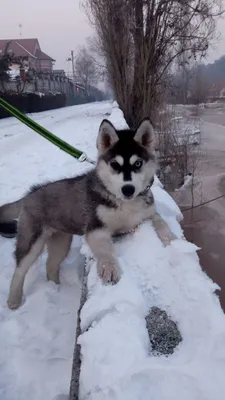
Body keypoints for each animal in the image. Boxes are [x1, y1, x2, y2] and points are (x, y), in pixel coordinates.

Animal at [0, 119, 175, 310]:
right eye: (115, 165)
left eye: (138, 164)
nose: (128, 189)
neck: (124, 202)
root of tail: (28, 195)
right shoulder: (95, 228)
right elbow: (105, 250)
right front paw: (109, 268)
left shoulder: (147, 214)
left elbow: (161, 222)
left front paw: (173, 241)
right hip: (32, 240)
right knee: (20, 269)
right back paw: (14, 300)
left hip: (61, 240)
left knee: (51, 264)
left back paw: (55, 286)